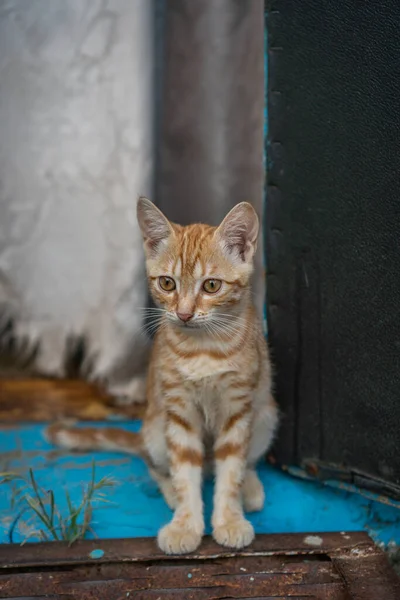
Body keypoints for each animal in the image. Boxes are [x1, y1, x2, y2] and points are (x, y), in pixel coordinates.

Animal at [47, 199, 278, 556]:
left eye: (212, 285)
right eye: (167, 283)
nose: (183, 313)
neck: (203, 348)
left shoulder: (237, 408)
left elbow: (232, 468)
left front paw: (229, 519)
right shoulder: (177, 410)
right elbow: (184, 470)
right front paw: (185, 524)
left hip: (265, 414)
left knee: (243, 462)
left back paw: (249, 490)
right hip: (156, 427)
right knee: (153, 462)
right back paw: (169, 490)